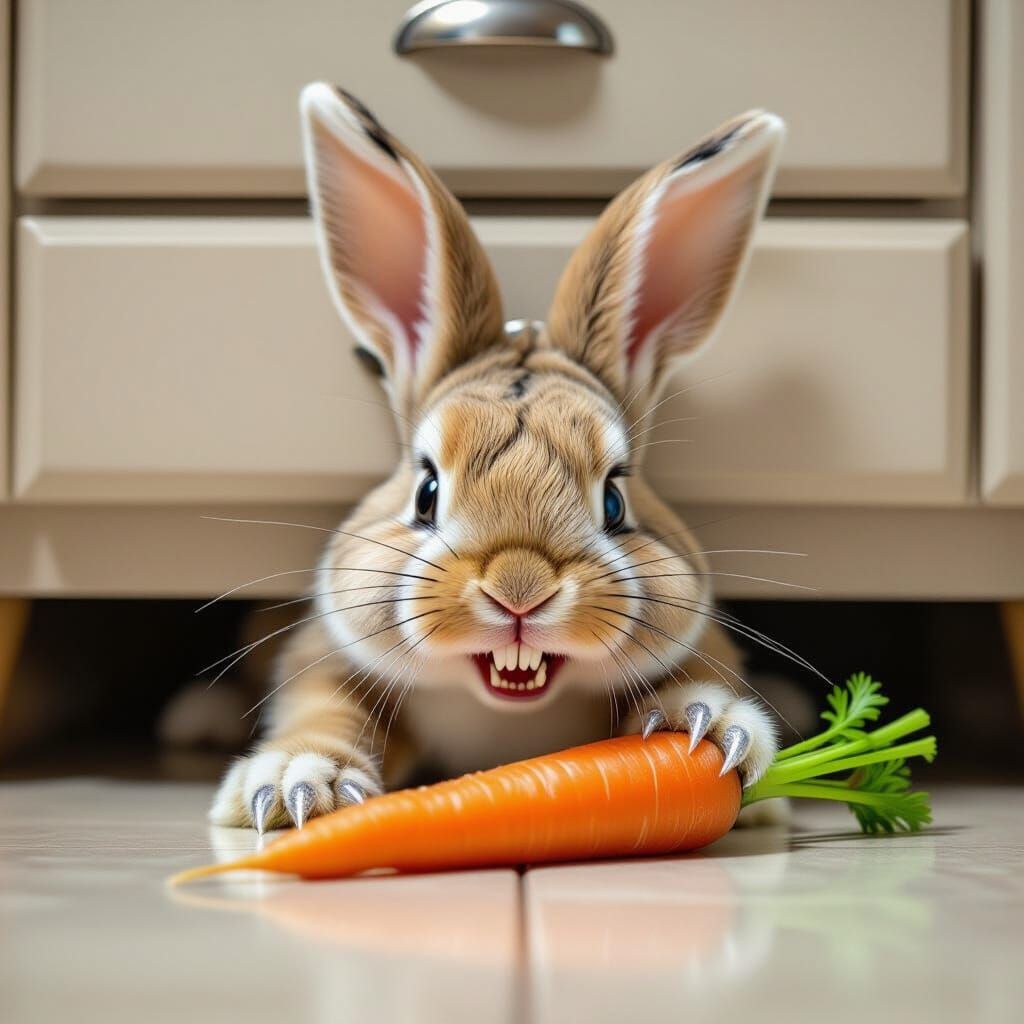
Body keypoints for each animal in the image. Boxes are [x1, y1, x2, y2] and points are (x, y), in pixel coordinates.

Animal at [209, 83, 787, 832]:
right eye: (425, 491)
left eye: (614, 499)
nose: (519, 590)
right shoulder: (322, 661)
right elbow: (324, 708)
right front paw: (297, 782)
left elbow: (703, 675)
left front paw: (708, 726)